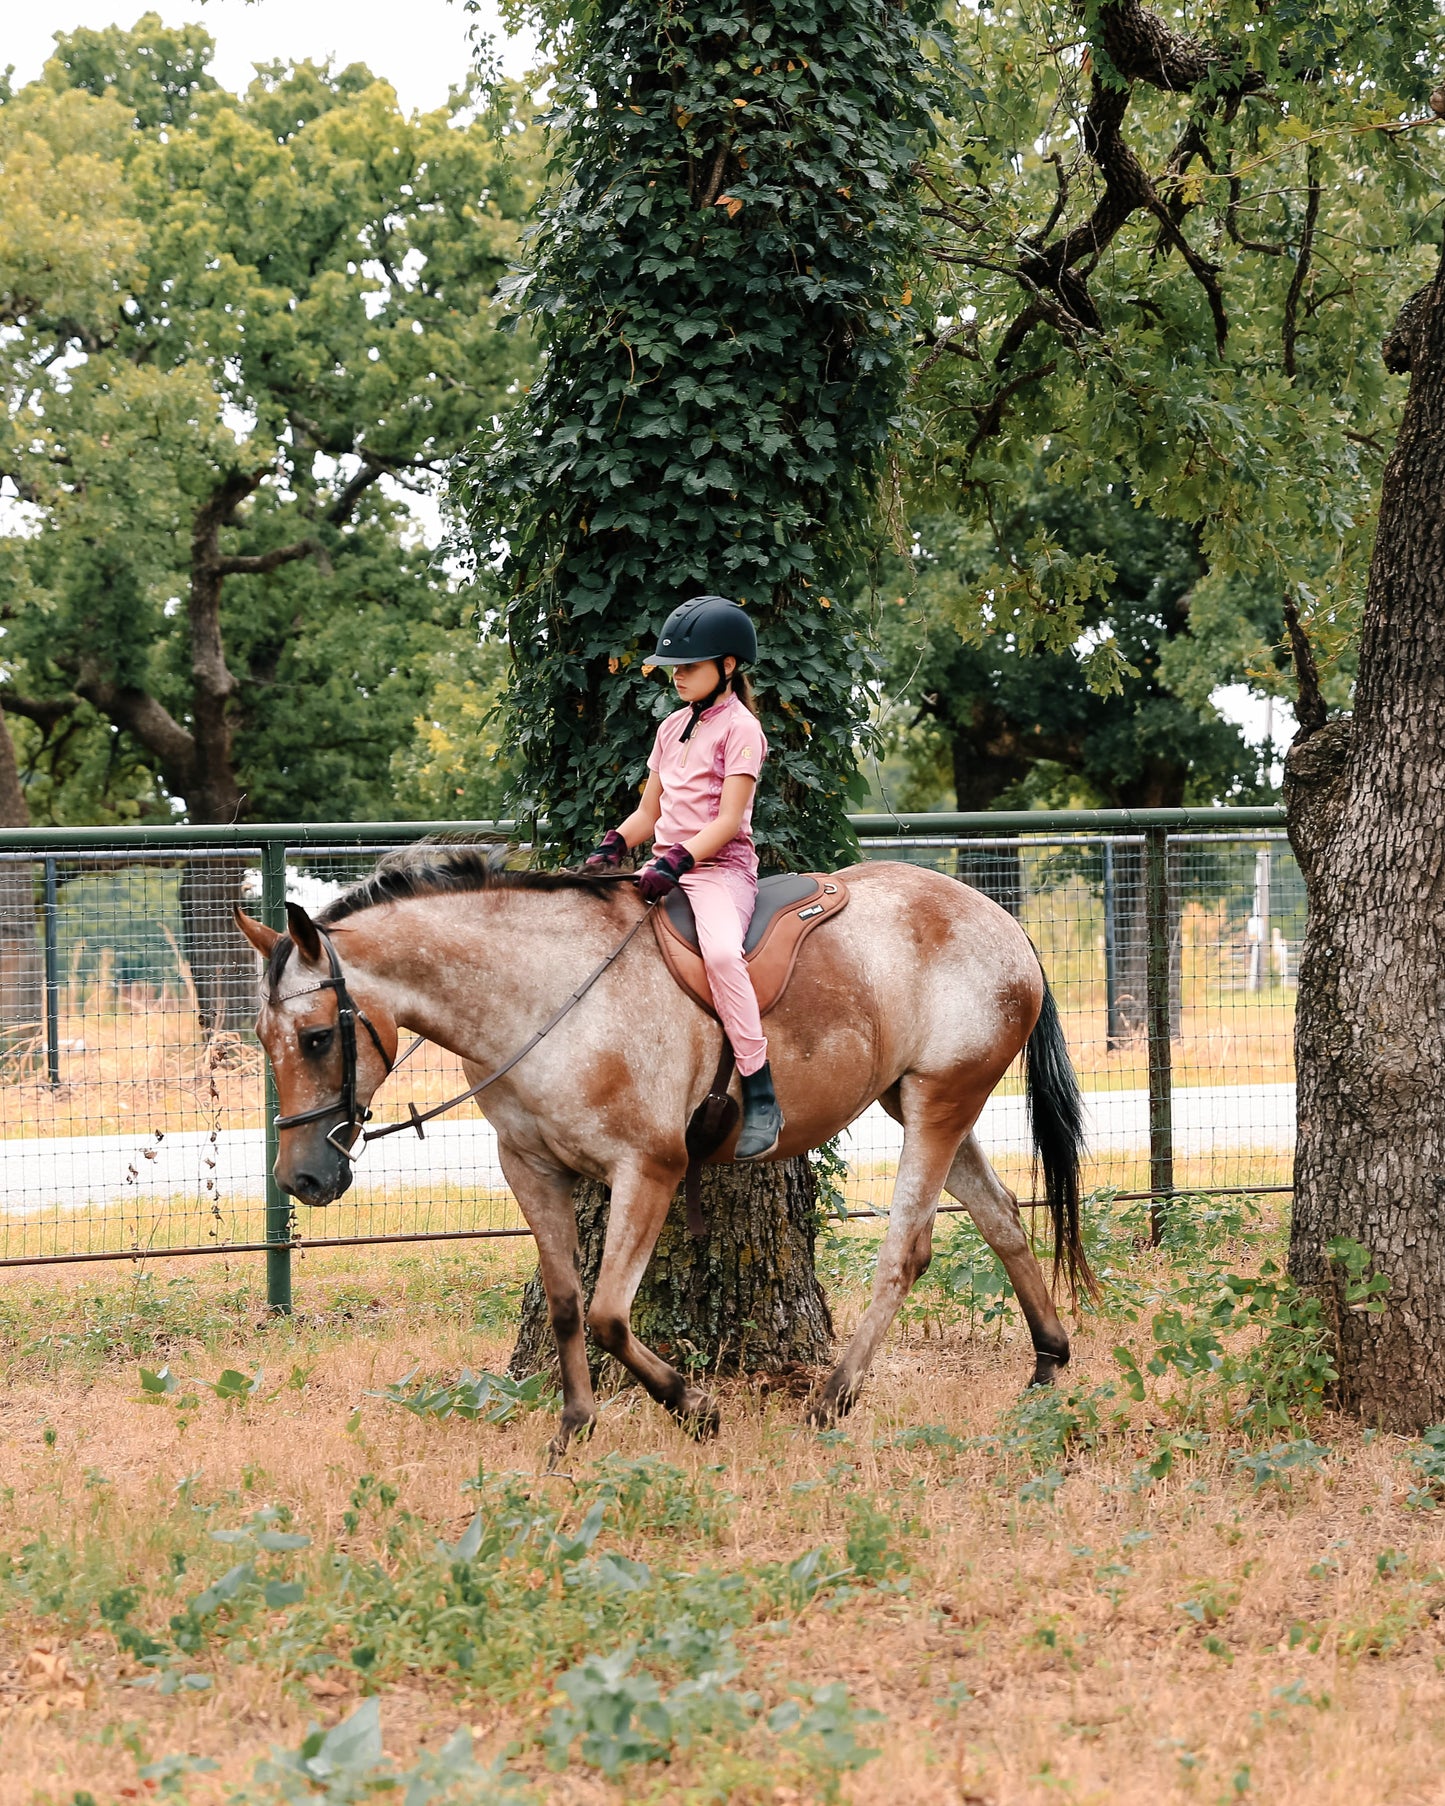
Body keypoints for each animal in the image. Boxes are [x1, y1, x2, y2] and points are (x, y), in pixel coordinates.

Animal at [236, 852, 1090, 1459]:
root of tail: (1000, 922)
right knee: (1002, 1217)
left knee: (905, 1251)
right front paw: (573, 1429)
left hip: (940, 1101)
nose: (301, 1177)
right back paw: (1046, 1363)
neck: (544, 997)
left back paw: (833, 1397)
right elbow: (567, 1305)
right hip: (919, 1101)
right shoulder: (530, 1171)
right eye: (264, 1039)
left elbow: (610, 1315)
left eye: (317, 1037)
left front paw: (694, 1408)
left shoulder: (647, 1169)